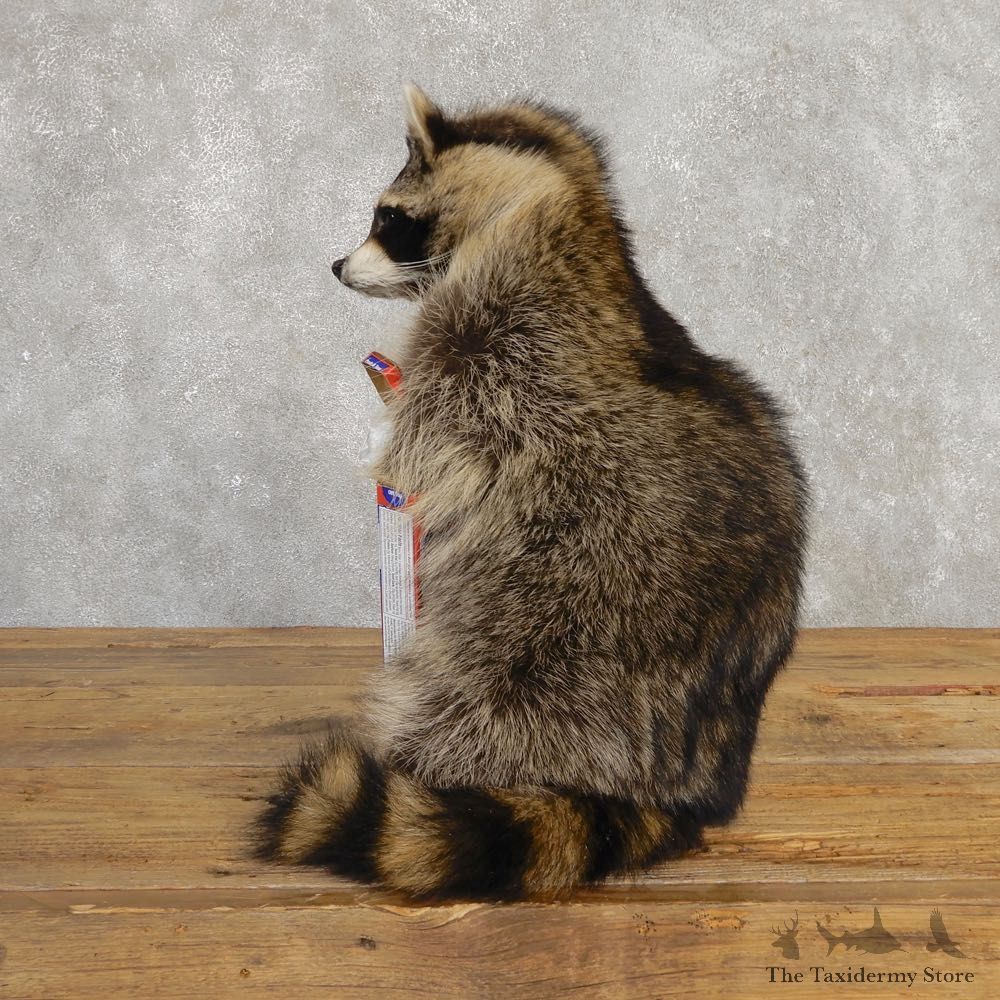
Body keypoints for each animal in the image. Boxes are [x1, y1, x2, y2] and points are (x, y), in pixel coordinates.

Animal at [256, 85, 809, 900]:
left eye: (389, 220)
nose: (334, 265)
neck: (557, 202)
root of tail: (677, 781)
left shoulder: (492, 342)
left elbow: (433, 449)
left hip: (544, 627)